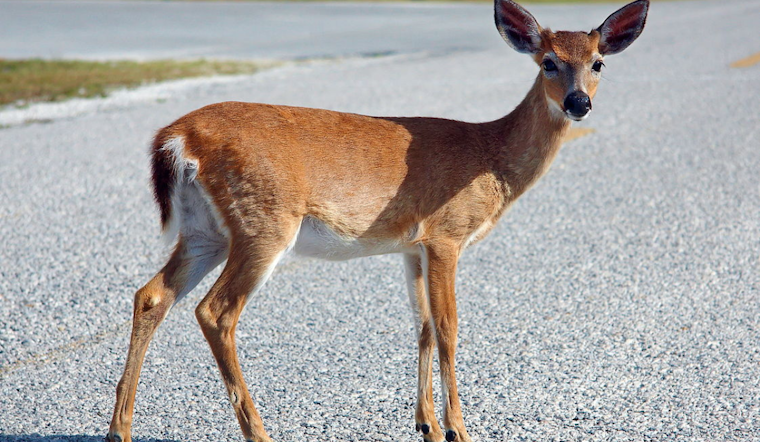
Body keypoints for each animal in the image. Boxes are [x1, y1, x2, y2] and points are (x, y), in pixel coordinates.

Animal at [106, 1, 649, 441]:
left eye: (598, 63)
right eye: (548, 62)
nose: (579, 103)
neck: (491, 159)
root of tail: (176, 138)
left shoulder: (411, 245)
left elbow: (422, 325)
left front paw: (427, 425)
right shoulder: (446, 234)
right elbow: (449, 327)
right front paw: (458, 429)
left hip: (205, 230)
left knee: (151, 296)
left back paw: (120, 429)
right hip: (264, 221)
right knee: (215, 311)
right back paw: (257, 432)